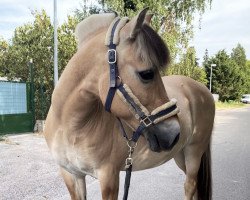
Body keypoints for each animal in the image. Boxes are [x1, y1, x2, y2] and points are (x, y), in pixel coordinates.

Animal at [43, 8, 215, 200]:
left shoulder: (109, 177)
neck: (70, 128)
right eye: (147, 74)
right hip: (180, 154)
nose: (174, 133)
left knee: (190, 186)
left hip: (194, 152)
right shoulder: (71, 175)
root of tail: (203, 90)